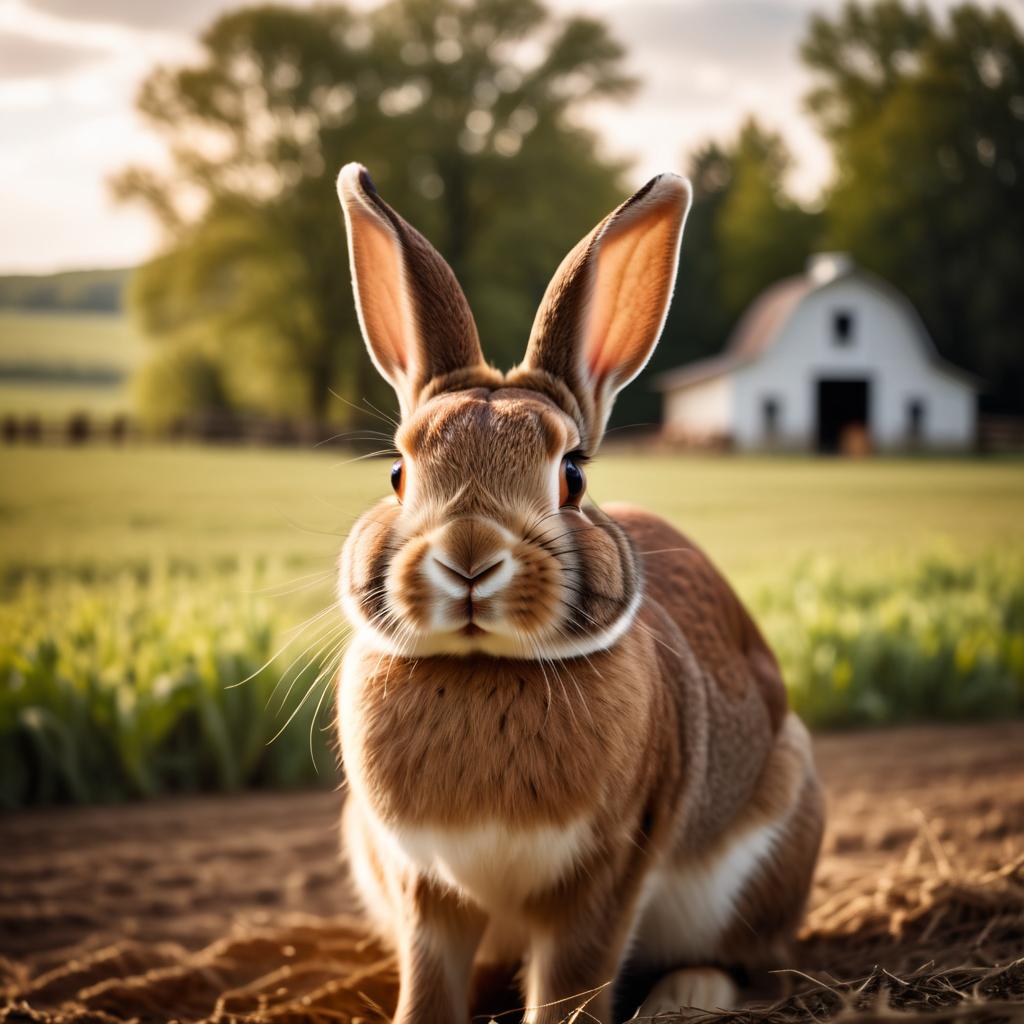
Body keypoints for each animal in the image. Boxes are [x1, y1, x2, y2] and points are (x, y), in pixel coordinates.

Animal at [333, 161, 823, 1024]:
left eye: (573, 476)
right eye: (398, 472)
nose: (469, 557)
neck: (482, 668)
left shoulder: (606, 873)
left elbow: (571, 980)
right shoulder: (423, 885)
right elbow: (428, 980)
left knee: (753, 960)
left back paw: (684, 996)